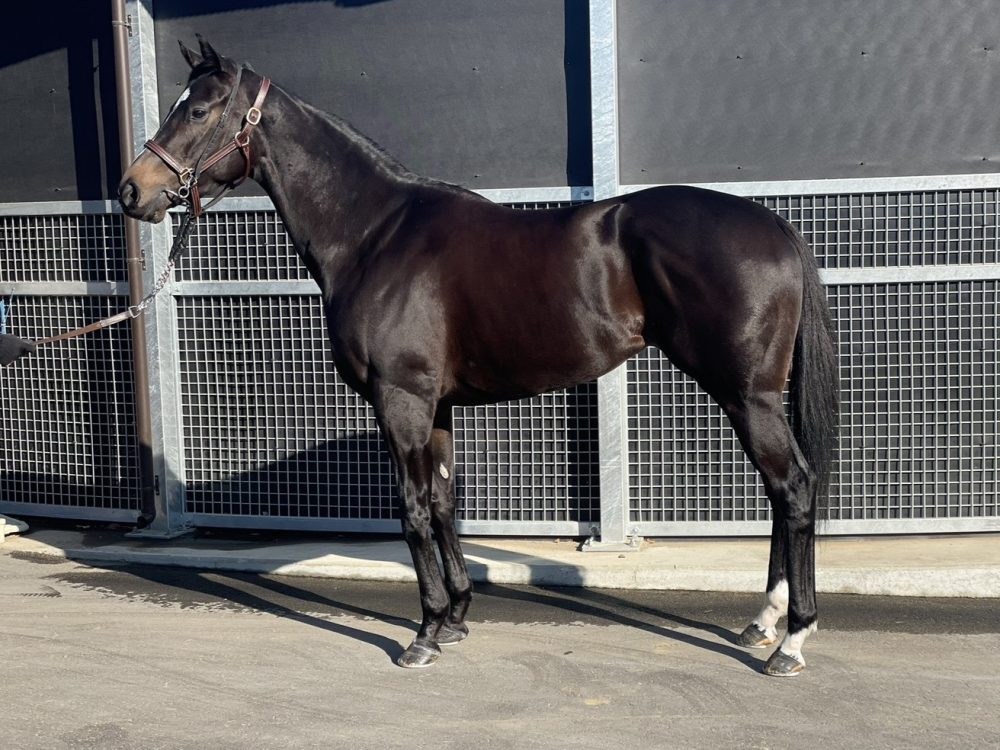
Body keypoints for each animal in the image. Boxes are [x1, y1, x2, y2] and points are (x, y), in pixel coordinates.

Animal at [119, 38, 839, 676]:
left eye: (198, 110)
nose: (132, 189)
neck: (376, 234)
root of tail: (774, 224)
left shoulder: (400, 400)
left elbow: (411, 510)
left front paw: (424, 632)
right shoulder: (435, 407)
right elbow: (442, 503)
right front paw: (457, 616)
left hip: (746, 396)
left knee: (793, 488)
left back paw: (791, 639)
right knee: (783, 494)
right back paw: (763, 622)